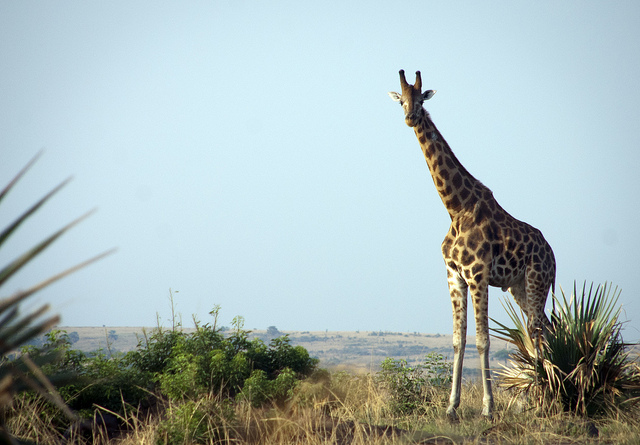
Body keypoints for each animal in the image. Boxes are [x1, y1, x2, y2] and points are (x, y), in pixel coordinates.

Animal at [388, 70, 555, 420]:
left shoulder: (478, 274)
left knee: (537, 331)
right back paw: (535, 401)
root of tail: (553, 255)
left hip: (537, 281)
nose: (410, 117)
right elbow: (457, 339)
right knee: (544, 330)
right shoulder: (454, 275)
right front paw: (451, 407)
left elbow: (482, 340)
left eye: (421, 98)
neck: (455, 207)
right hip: (519, 286)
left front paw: (488, 409)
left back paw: (539, 401)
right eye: (401, 100)